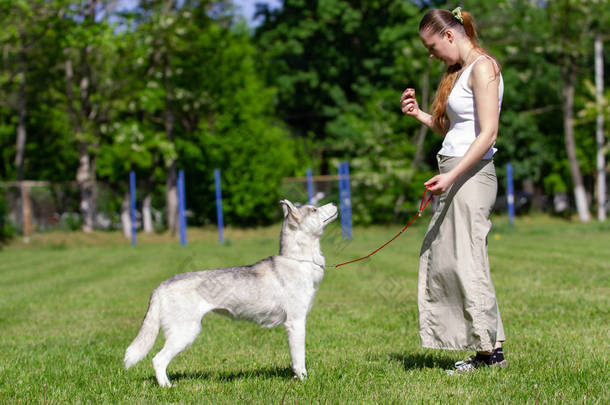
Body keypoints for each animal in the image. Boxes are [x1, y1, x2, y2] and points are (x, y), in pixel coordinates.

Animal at [121, 199, 334, 386]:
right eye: (314, 210)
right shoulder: (295, 323)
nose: (334, 203)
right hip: (185, 332)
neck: (299, 260)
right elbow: (299, 359)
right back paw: (167, 387)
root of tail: (161, 285)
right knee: (158, 360)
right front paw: (303, 381)